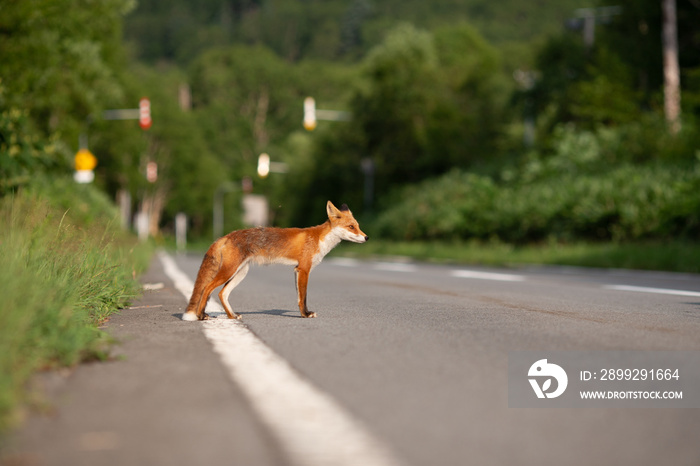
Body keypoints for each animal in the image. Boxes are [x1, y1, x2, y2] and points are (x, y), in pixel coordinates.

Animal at [182, 200, 366, 320]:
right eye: (351, 227)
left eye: (358, 226)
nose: (367, 237)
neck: (319, 239)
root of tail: (225, 236)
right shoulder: (304, 269)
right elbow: (303, 297)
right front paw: (306, 314)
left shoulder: (297, 270)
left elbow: (299, 297)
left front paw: (303, 313)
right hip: (229, 271)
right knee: (207, 288)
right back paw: (201, 315)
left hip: (241, 272)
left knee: (222, 293)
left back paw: (232, 315)